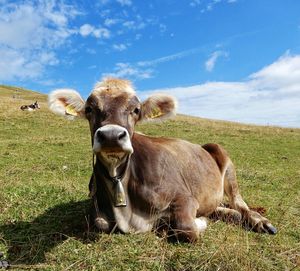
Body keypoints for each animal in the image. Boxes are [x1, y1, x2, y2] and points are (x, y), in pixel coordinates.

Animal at [48, 78, 276, 242]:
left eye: (136, 110)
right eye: (89, 109)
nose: (111, 135)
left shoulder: (185, 198)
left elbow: (186, 229)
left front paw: (198, 221)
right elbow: (100, 223)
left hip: (224, 159)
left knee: (240, 203)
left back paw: (260, 222)